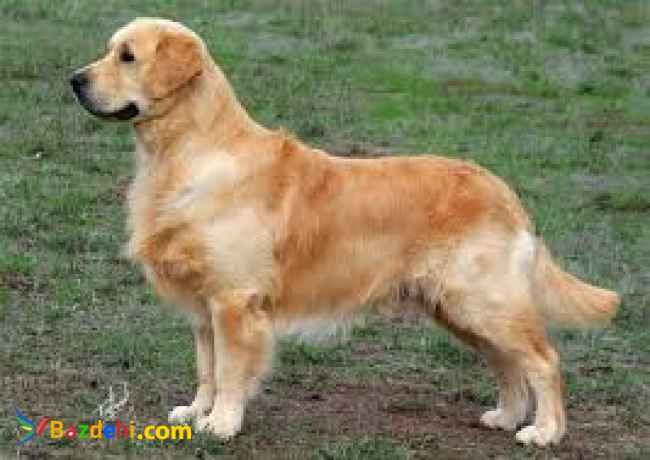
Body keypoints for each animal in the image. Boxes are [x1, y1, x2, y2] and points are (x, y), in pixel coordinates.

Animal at [70, 18, 619, 446]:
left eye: (127, 56)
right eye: (109, 50)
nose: (74, 80)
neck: (185, 153)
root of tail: (505, 192)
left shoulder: (234, 301)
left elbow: (229, 371)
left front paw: (222, 424)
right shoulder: (205, 307)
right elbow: (206, 368)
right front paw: (195, 412)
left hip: (483, 300)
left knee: (544, 360)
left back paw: (544, 431)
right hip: (458, 308)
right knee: (507, 363)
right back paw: (504, 417)